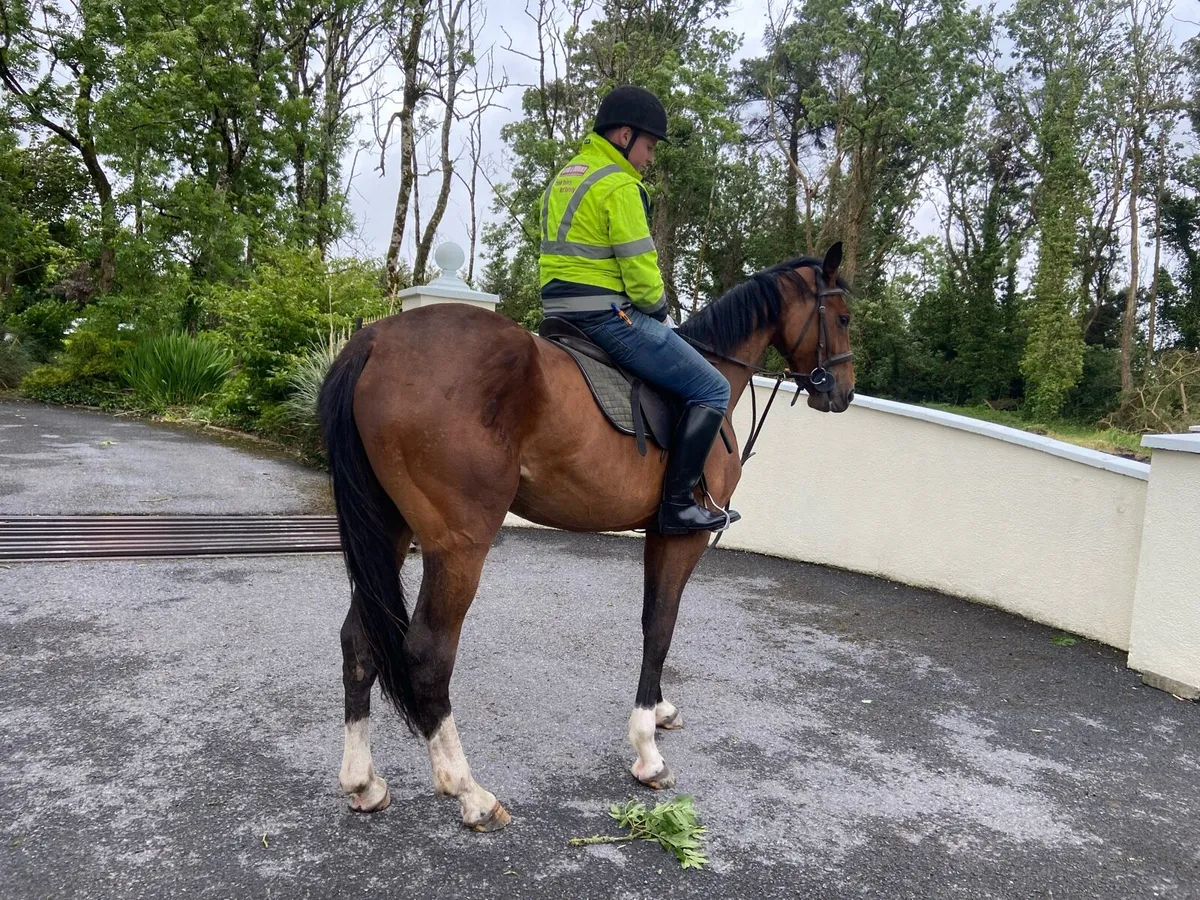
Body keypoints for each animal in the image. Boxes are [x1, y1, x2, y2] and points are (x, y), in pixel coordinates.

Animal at [318, 243, 855, 832]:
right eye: (844, 318)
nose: (844, 392)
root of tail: (375, 342)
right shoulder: (681, 538)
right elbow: (661, 627)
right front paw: (647, 751)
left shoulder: (657, 534)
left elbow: (651, 619)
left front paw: (659, 711)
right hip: (459, 545)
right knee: (428, 654)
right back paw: (469, 792)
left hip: (390, 531)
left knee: (357, 640)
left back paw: (363, 782)